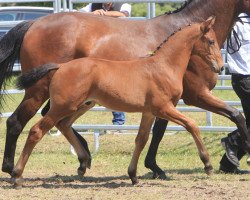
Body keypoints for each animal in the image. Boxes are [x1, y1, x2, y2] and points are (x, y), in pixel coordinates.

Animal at [1, 0, 250, 178]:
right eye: (210, 42)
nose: (220, 66)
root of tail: (33, 24)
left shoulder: (165, 102)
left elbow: (155, 132)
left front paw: (151, 167)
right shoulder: (196, 95)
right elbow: (236, 115)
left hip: (77, 99)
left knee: (56, 120)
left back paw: (83, 158)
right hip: (39, 90)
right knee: (18, 121)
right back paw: (12, 169)